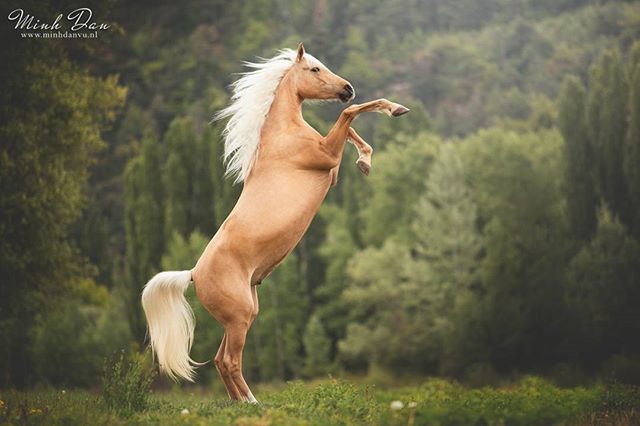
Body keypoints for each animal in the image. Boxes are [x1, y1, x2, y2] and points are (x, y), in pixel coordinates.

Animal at [141, 43, 409, 403]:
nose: (347, 88)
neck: (282, 136)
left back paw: (242, 403)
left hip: (244, 316)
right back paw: (253, 403)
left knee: (220, 360)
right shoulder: (327, 156)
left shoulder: (331, 165)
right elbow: (349, 115)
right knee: (230, 361)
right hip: (239, 317)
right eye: (314, 69)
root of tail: (194, 273)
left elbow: (351, 124)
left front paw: (367, 158)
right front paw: (393, 111)